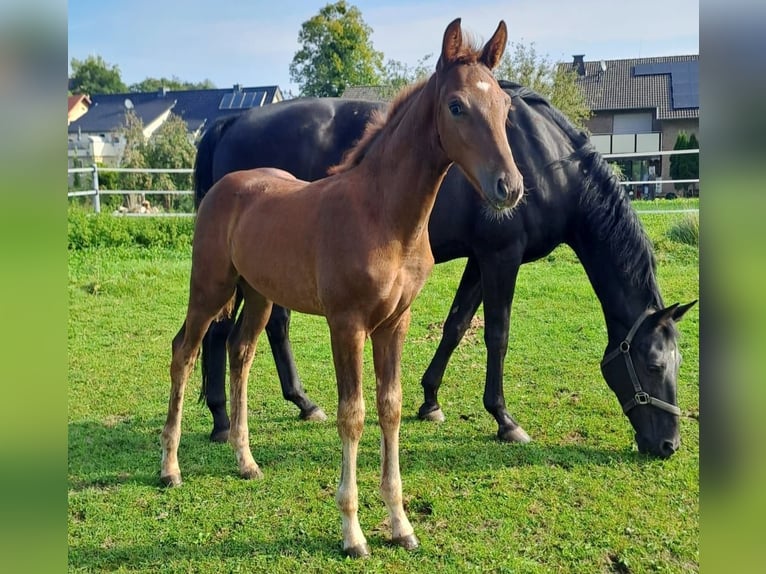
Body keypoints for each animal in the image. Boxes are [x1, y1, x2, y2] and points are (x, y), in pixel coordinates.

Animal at [159, 19, 524, 560]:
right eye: (457, 106)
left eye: (504, 106)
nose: (510, 187)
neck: (383, 216)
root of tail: (224, 185)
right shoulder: (346, 324)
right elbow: (353, 415)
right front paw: (353, 534)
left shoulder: (395, 323)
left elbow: (390, 409)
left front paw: (401, 525)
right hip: (210, 286)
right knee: (184, 349)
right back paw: (170, 468)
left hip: (259, 293)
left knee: (240, 352)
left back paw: (246, 462)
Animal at [195, 80, 700, 460]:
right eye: (654, 364)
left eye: (676, 361)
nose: (668, 445)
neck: (545, 160)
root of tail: (232, 121)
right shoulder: (501, 256)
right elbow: (497, 334)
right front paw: (504, 420)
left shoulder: (480, 259)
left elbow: (457, 326)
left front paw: (430, 400)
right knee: (223, 329)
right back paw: (222, 419)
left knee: (268, 326)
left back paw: (301, 403)